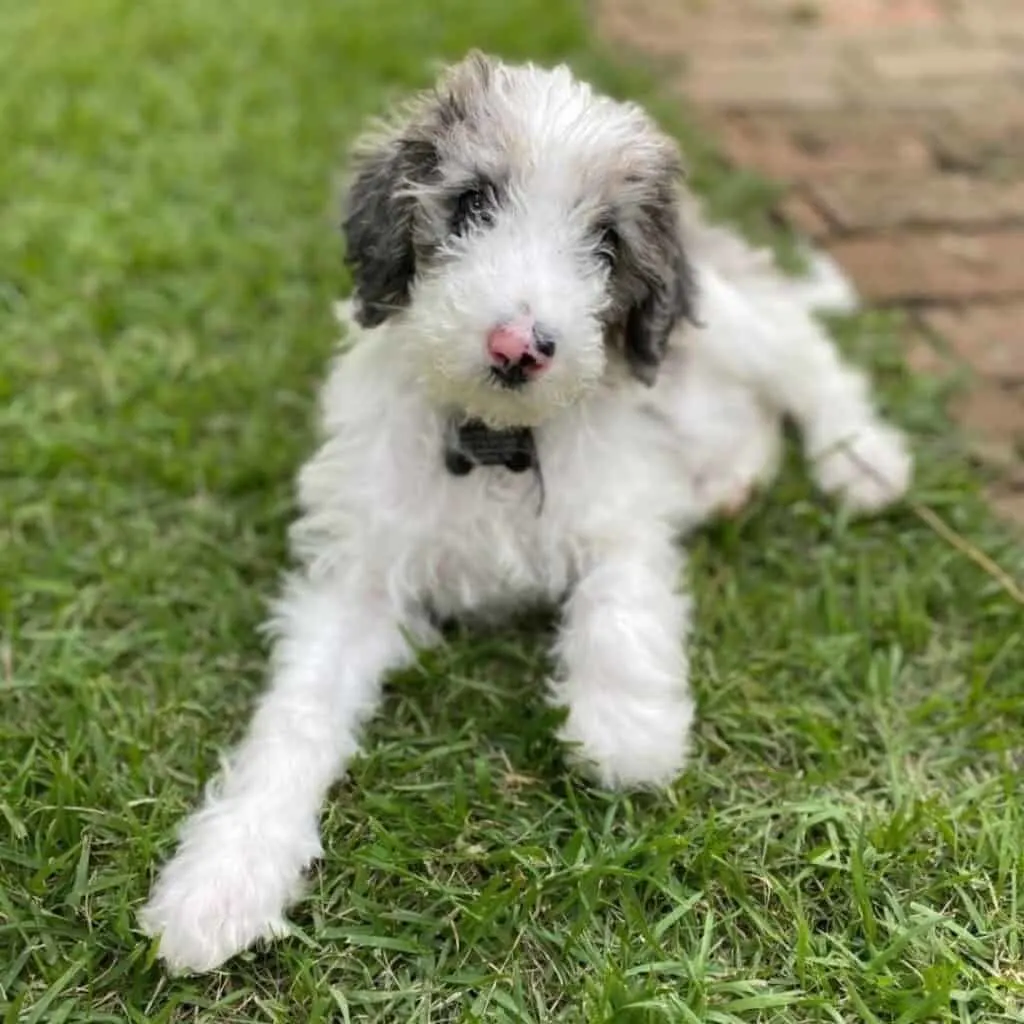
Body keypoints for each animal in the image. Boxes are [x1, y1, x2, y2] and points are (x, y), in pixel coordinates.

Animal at [138, 51, 913, 970]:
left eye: (606, 244)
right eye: (473, 204)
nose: (520, 346)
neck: (496, 441)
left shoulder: (620, 511)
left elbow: (620, 605)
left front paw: (625, 726)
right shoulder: (357, 569)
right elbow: (297, 712)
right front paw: (223, 877)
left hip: (730, 320)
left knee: (807, 358)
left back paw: (859, 458)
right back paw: (730, 478)